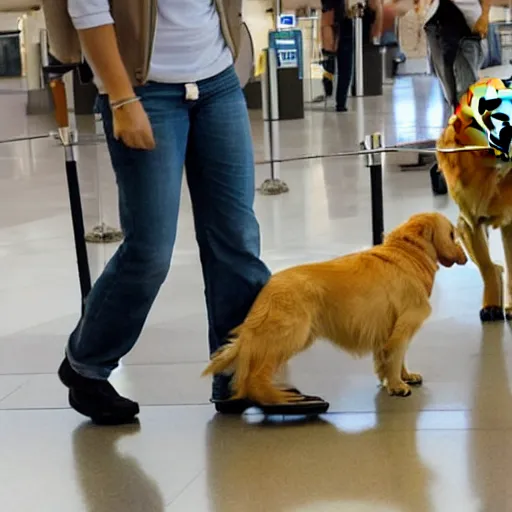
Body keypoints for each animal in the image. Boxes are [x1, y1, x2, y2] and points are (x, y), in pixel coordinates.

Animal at [202, 212, 466, 404]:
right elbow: (394, 358)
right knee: (253, 378)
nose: (464, 257)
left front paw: (404, 377)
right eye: (452, 233)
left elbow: (396, 359)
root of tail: (265, 292)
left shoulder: (392, 330)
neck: (408, 253)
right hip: (291, 334)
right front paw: (397, 386)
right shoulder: (403, 327)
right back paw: (281, 398)